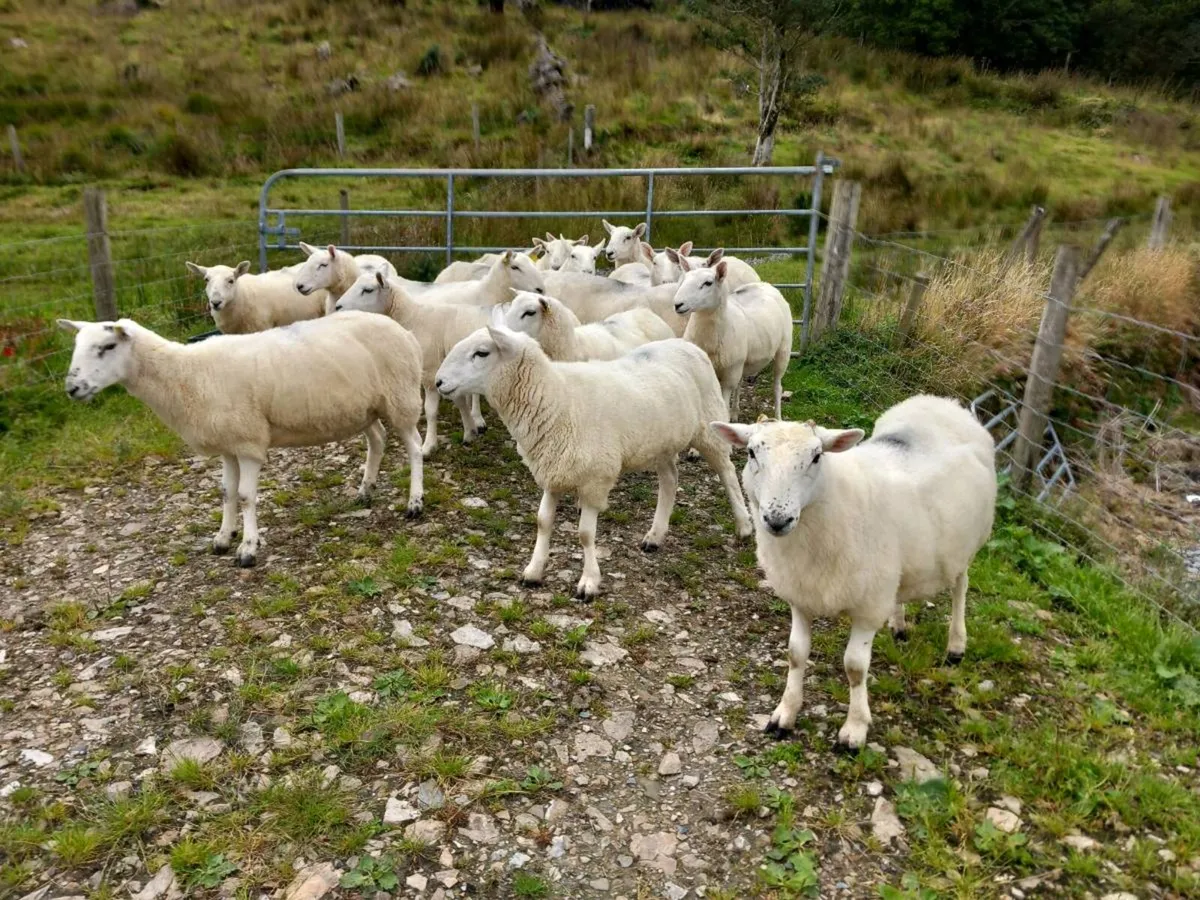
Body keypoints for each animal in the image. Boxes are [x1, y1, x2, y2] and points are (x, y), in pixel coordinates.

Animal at [58, 312, 425, 567]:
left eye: (107, 347)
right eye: (76, 348)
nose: (72, 389)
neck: (184, 374)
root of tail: (404, 331)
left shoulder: (248, 442)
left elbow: (247, 496)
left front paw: (247, 549)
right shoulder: (228, 444)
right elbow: (226, 493)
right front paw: (223, 538)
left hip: (400, 396)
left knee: (414, 447)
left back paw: (415, 503)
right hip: (365, 407)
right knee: (377, 439)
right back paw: (365, 491)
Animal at [335, 271, 493, 454]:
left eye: (368, 290)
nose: (337, 307)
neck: (414, 318)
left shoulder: (431, 371)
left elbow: (430, 410)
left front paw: (429, 445)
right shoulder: (448, 373)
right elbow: (459, 400)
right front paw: (469, 431)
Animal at [435, 326, 752, 599]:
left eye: (482, 353)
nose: (438, 381)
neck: (556, 399)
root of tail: (686, 344)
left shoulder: (595, 479)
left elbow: (585, 535)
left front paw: (588, 582)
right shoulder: (553, 470)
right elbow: (542, 522)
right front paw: (534, 571)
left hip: (708, 424)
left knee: (727, 472)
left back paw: (744, 525)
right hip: (659, 442)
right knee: (670, 479)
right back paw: (655, 535)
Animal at [673, 256, 792, 420]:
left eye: (708, 283)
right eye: (684, 279)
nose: (678, 304)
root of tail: (766, 285)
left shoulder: (728, 376)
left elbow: (724, 405)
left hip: (783, 349)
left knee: (777, 386)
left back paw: (778, 416)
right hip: (741, 361)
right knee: (740, 383)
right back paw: (735, 412)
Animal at [711, 395, 996, 748]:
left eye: (817, 456)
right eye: (751, 453)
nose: (777, 520)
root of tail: (942, 403)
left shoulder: (868, 607)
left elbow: (855, 667)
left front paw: (854, 730)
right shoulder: (801, 595)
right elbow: (796, 654)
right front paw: (784, 715)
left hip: (966, 545)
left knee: (960, 588)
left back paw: (956, 645)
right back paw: (899, 625)